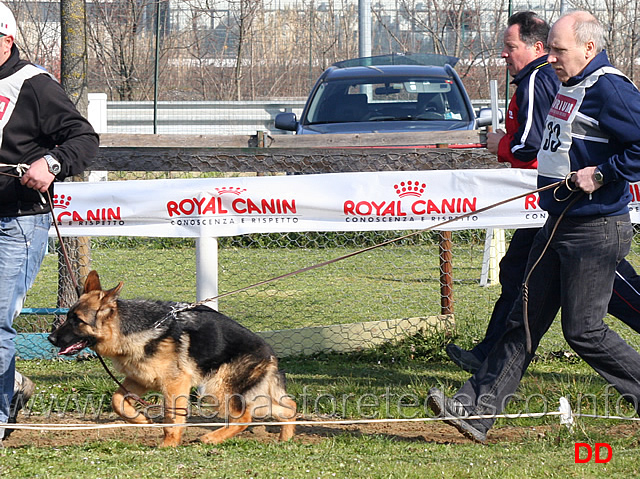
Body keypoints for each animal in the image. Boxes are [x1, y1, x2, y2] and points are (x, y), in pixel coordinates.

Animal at [48, 272, 298, 448]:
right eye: (68, 317)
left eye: (77, 320)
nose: (50, 339)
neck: (132, 329)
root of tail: (269, 352)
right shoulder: (139, 380)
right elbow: (117, 401)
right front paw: (141, 420)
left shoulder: (175, 384)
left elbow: (172, 417)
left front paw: (169, 444)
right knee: (289, 407)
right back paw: (285, 440)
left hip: (215, 388)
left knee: (244, 417)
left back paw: (211, 438)